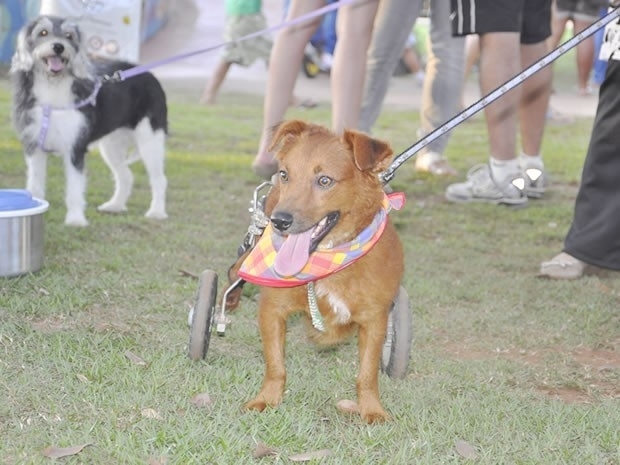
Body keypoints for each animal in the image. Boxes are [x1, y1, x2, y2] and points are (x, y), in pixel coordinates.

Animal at [10, 14, 170, 225]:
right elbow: (34, 186)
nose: (58, 47)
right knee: (126, 176)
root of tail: (147, 73)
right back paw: (115, 205)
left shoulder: (75, 148)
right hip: (112, 146)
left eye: (69, 35)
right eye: (43, 32)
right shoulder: (33, 147)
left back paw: (157, 212)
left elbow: (74, 189)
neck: (52, 88)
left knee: (159, 179)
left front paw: (75, 220)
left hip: (150, 141)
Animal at [239, 118, 406, 420]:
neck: (329, 259)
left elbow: (367, 373)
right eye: (285, 174)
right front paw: (266, 400)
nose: (279, 221)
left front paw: (372, 410)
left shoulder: (375, 319)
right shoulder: (272, 309)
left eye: (324, 180)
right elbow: (275, 365)